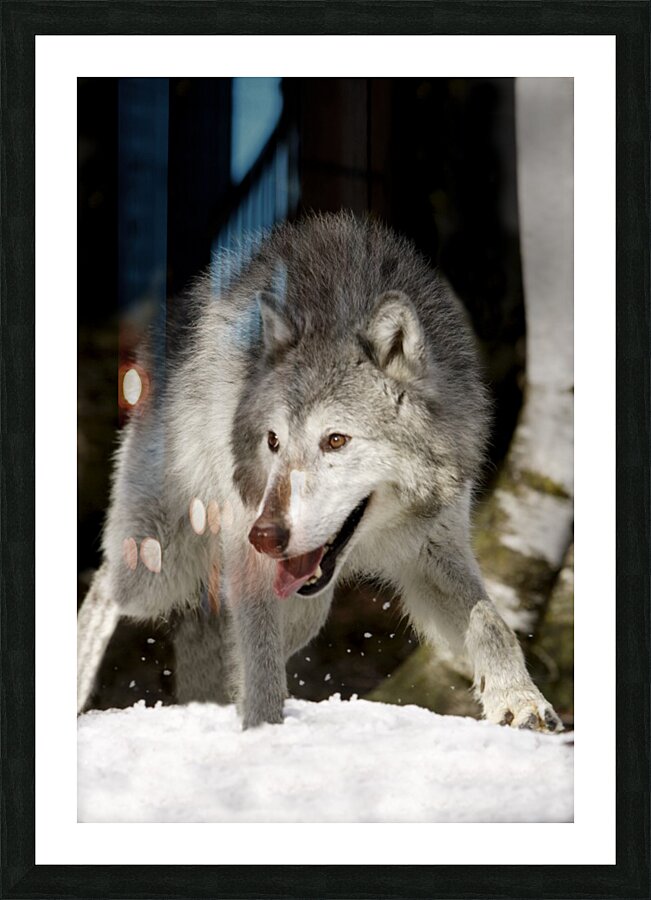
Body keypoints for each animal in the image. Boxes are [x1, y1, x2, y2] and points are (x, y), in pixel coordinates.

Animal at [78, 213, 562, 733]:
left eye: (335, 440)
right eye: (273, 441)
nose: (265, 534)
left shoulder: (436, 545)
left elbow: (492, 622)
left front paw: (521, 700)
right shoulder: (247, 549)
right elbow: (260, 658)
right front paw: (264, 729)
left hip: (304, 605)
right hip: (156, 567)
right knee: (104, 586)